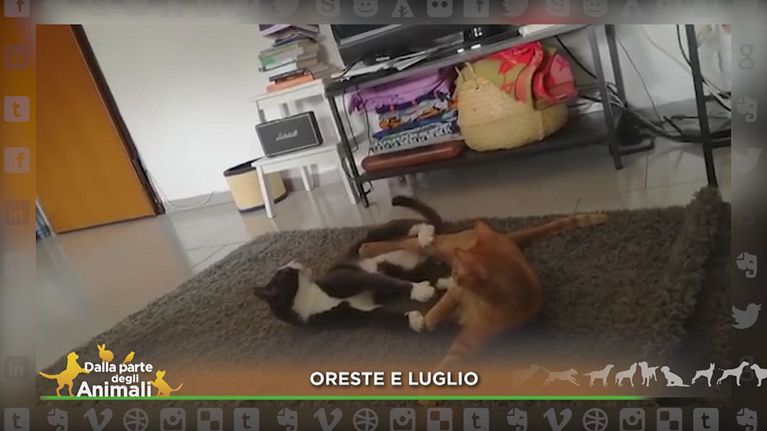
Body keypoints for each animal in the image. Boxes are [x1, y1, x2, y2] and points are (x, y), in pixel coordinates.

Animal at [255, 196, 453, 327]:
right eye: (284, 271)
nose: (293, 261)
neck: (310, 299)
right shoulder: (350, 312)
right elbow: (381, 316)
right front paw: (414, 320)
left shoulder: (349, 278)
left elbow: (387, 282)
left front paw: (421, 291)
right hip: (415, 267)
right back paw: (445, 280)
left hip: (379, 234)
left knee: (410, 227)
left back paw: (425, 235)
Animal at [407, 221, 544, 371]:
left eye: (456, 272)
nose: (453, 274)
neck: (484, 303)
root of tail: (506, 236)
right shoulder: (457, 293)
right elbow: (444, 304)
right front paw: (429, 319)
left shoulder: (470, 341)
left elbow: (449, 363)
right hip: (440, 246)